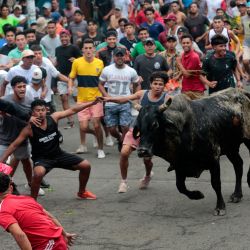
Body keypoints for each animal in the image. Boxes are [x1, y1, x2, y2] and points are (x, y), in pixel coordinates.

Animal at [134, 87, 250, 215]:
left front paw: (220, 207)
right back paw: (237, 195)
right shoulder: (179, 165)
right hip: (231, 147)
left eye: (155, 124)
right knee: (238, 165)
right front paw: (197, 195)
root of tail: (243, 93)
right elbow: (180, 186)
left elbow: (216, 183)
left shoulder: (214, 157)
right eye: (138, 126)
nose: (142, 151)